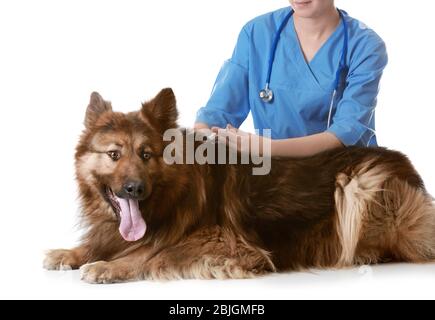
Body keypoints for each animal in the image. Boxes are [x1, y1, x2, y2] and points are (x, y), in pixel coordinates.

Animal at [43, 89, 435, 284]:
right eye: (113, 154)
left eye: (146, 154)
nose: (134, 189)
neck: (175, 193)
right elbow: (100, 243)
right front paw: (70, 254)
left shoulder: (225, 243)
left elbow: (154, 251)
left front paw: (109, 266)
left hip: (358, 183)